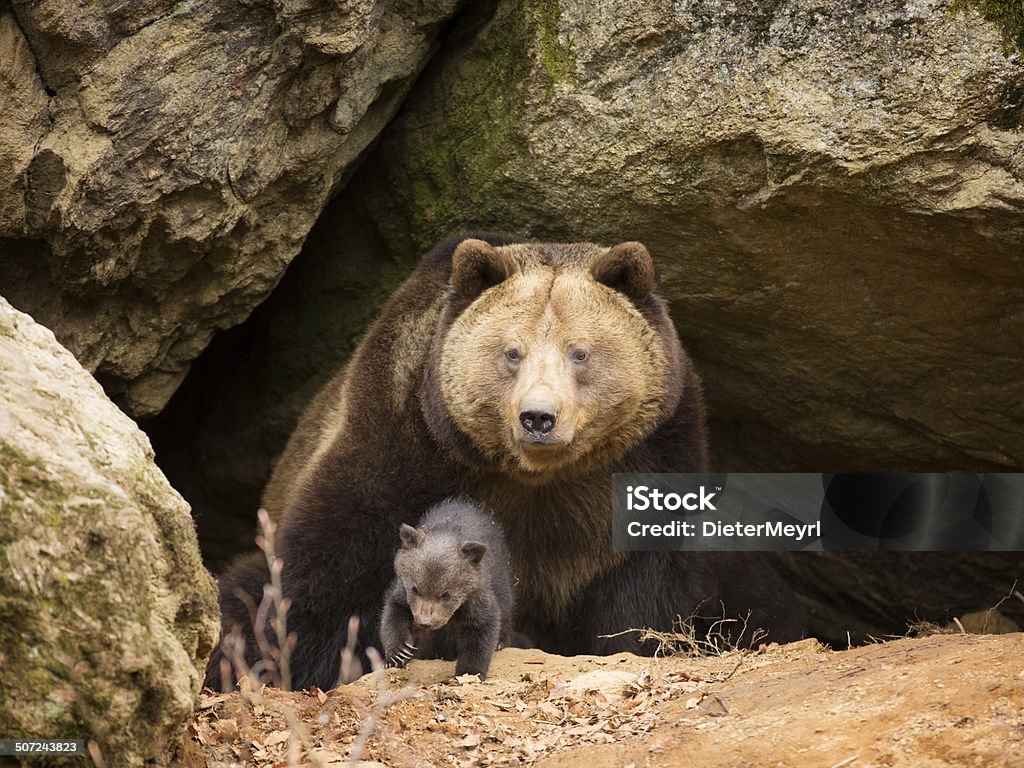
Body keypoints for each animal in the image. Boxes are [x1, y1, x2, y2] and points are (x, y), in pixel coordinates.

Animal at [205, 234, 798, 692]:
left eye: (580, 352)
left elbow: (644, 592)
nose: (538, 418)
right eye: (512, 352)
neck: (534, 477)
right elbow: (315, 581)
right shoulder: (398, 454)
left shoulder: (648, 467)